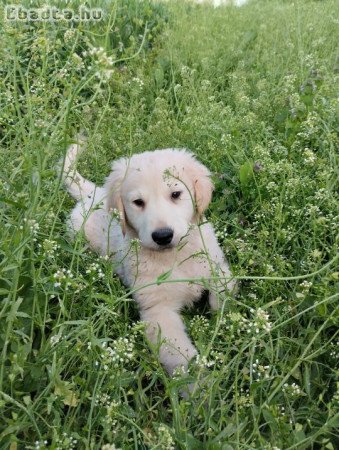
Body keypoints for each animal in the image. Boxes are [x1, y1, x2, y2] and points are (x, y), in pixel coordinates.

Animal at [62, 141, 235, 376]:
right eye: (138, 202)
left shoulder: (217, 264)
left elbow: (223, 292)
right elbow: (180, 355)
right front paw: (196, 381)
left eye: (175, 194)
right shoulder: (158, 311)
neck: (175, 256)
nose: (162, 236)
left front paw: (222, 318)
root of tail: (94, 193)